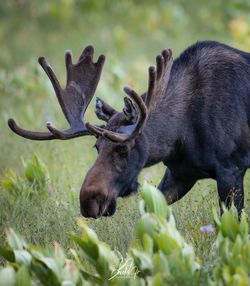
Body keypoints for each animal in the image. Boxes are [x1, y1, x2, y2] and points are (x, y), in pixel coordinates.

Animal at [7, 41, 250, 218]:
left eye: (123, 149)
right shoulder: (181, 172)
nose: (88, 201)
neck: (180, 136)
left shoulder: (231, 169)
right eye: (96, 147)